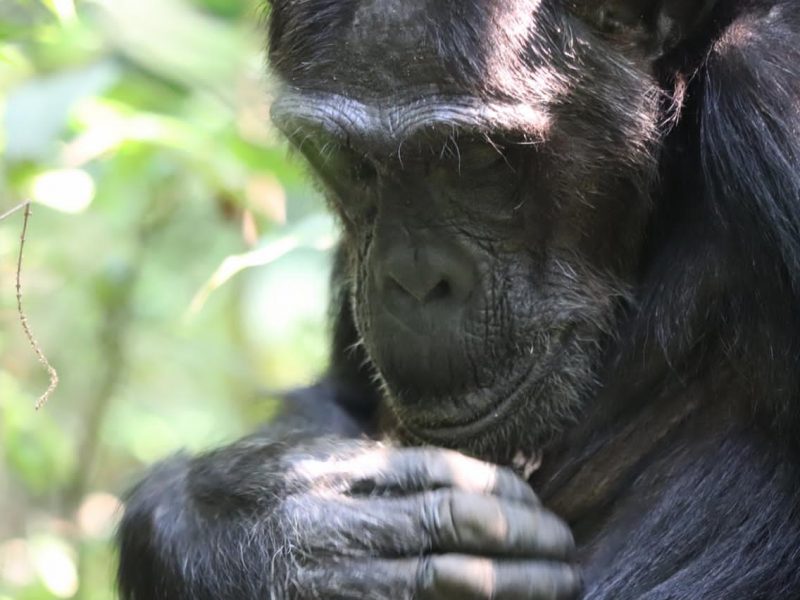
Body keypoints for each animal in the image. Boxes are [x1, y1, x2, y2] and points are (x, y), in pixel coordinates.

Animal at [119, 0, 800, 596]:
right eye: (346, 159)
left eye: (476, 159)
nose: (413, 280)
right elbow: (333, 401)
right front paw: (290, 528)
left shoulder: (772, 94)